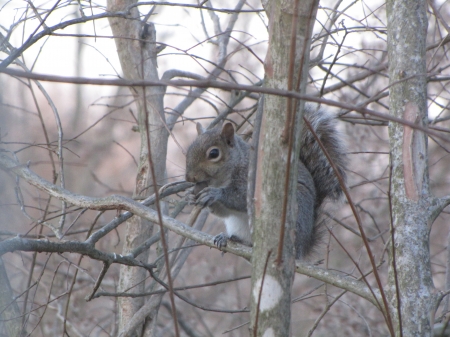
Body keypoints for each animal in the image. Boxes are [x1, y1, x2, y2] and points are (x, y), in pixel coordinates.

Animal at [185, 104, 346, 258]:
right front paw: (191, 196)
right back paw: (229, 238)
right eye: (189, 149)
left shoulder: (251, 179)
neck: (222, 179)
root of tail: (304, 247)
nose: (189, 178)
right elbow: (223, 212)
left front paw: (214, 194)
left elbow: (240, 198)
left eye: (214, 153)